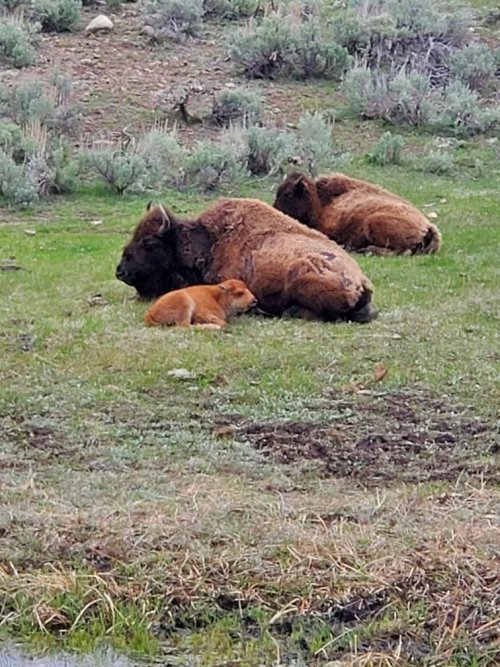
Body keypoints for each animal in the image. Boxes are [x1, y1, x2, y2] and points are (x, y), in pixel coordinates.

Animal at [273, 172, 442, 255]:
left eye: (287, 193)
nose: (274, 209)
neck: (322, 203)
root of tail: (427, 225)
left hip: (372, 222)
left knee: (403, 251)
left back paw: (366, 250)